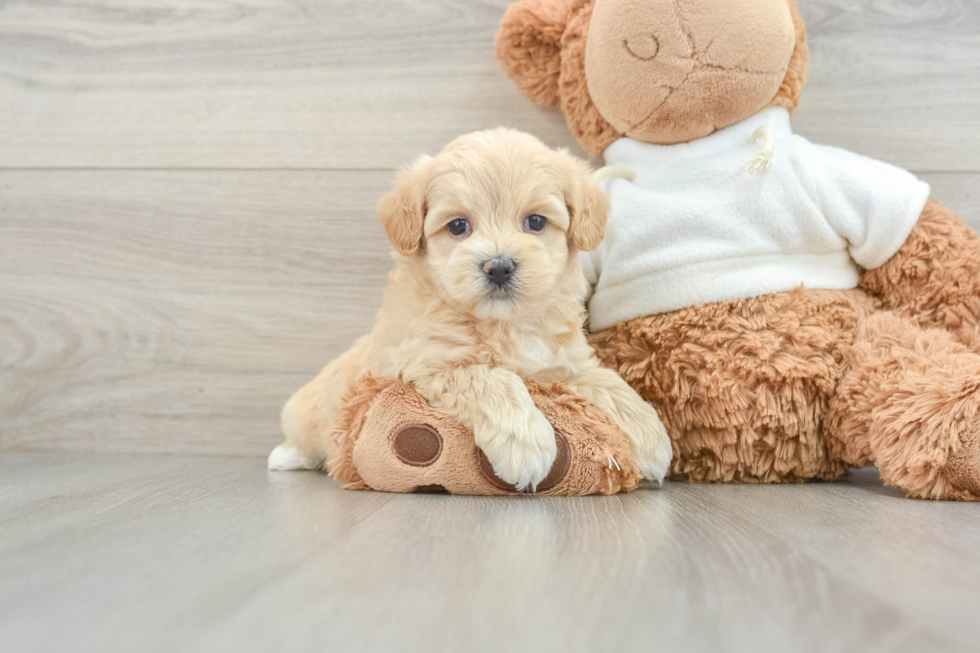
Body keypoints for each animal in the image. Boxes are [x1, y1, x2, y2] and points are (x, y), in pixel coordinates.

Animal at [270, 127, 672, 488]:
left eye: (536, 221)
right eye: (458, 226)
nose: (499, 267)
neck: (505, 323)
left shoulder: (564, 364)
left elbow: (608, 382)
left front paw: (653, 439)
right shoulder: (430, 362)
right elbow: (493, 379)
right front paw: (528, 445)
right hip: (306, 414)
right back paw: (286, 456)